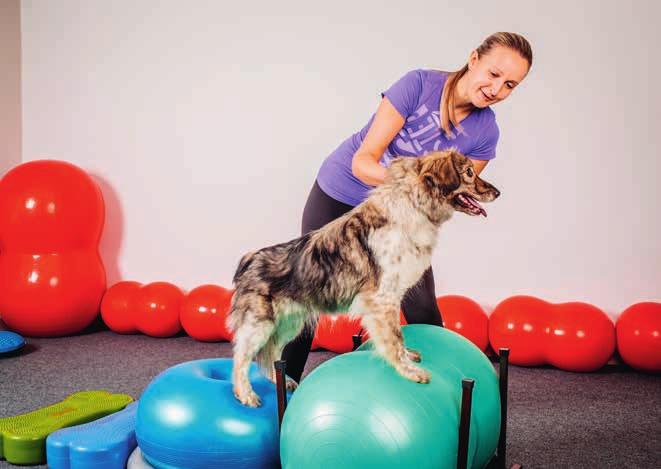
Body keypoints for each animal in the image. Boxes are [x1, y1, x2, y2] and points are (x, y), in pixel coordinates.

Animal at [224, 148, 498, 404]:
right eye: (469, 173)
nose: (497, 193)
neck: (414, 205)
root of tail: (248, 261)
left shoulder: (391, 297)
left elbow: (396, 335)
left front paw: (408, 357)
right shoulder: (382, 297)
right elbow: (393, 337)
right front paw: (409, 371)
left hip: (289, 323)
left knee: (272, 353)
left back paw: (283, 381)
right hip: (259, 325)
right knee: (240, 357)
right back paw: (245, 394)